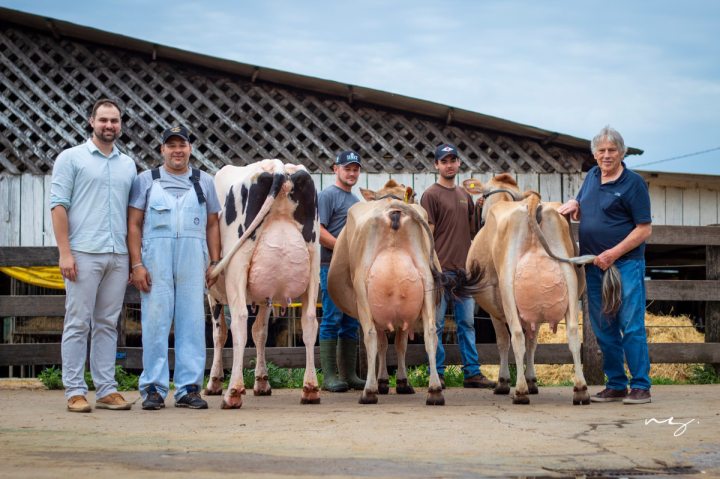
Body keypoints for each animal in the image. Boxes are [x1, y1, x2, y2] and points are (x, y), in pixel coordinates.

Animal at [204, 159, 320, 406]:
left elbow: (219, 334)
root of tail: (278, 168)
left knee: (239, 322)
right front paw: (262, 381)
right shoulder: (266, 294)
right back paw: (310, 389)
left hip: (237, 265)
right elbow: (260, 332)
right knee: (309, 321)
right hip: (313, 262)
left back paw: (233, 392)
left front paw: (214, 382)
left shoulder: (212, 294)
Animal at [324, 180, 444, 404]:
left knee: (370, 337)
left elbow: (383, 344)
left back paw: (369, 391)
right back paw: (435, 390)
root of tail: (391, 208)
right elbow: (399, 344)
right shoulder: (406, 314)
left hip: (363, 291)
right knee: (431, 333)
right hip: (427, 284)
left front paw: (384, 382)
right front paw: (400, 382)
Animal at [466, 174, 592, 406]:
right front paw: (533, 380)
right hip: (569, 282)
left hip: (507, 287)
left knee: (516, 335)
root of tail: (533, 203)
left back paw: (520, 391)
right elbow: (533, 341)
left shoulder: (495, 308)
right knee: (572, 333)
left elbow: (503, 341)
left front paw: (504, 382)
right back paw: (580, 389)